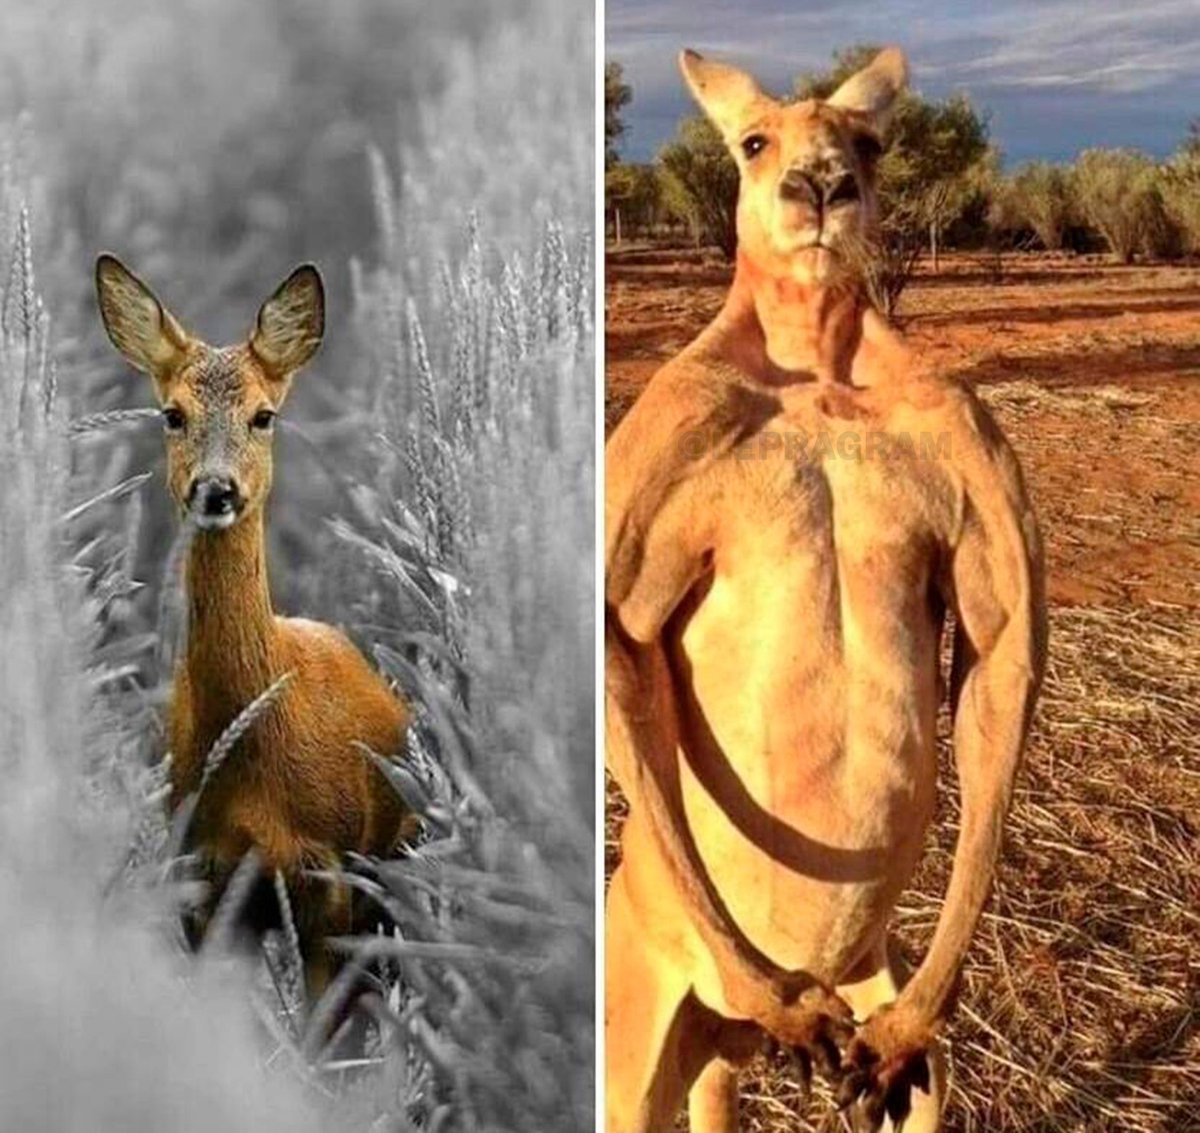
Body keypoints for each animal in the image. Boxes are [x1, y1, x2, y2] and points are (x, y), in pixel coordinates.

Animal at [605, 46, 1047, 1133]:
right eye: (754, 141)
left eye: (870, 142)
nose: (819, 187)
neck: (815, 362)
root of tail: (727, 1034)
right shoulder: (663, 432)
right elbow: (622, 644)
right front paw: (780, 998)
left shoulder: (967, 435)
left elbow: (999, 652)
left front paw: (908, 1021)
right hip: (638, 1028)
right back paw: (777, 1001)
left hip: (879, 1009)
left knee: (904, 1073)